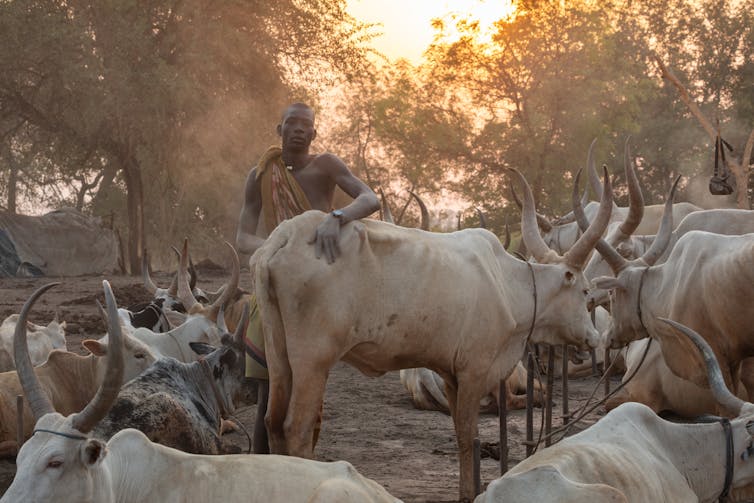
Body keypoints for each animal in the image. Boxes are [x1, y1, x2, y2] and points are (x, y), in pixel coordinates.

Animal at [254, 167, 614, 502]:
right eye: (584, 291)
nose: (594, 338)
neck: (508, 283)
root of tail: (284, 236)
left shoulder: (451, 374)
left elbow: (461, 436)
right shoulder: (474, 372)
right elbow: (469, 436)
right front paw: (470, 493)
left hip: (278, 353)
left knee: (273, 421)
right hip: (313, 360)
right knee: (297, 428)